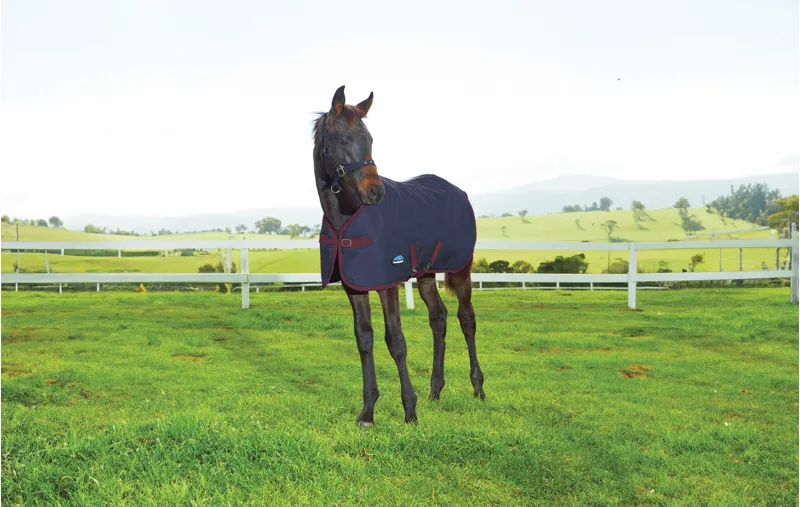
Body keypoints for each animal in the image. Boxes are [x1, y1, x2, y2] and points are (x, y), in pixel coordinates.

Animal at [311, 85, 485, 425]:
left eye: (370, 139)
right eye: (344, 140)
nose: (375, 192)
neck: (347, 218)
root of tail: (458, 191)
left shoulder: (387, 283)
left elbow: (395, 340)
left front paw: (409, 410)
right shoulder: (354, 286)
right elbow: (364, 339)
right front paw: (367, 412)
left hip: (461, 269)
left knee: (466, 318)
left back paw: (478, 388)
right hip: (427, 273)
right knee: (438, 317)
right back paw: (435, 390)